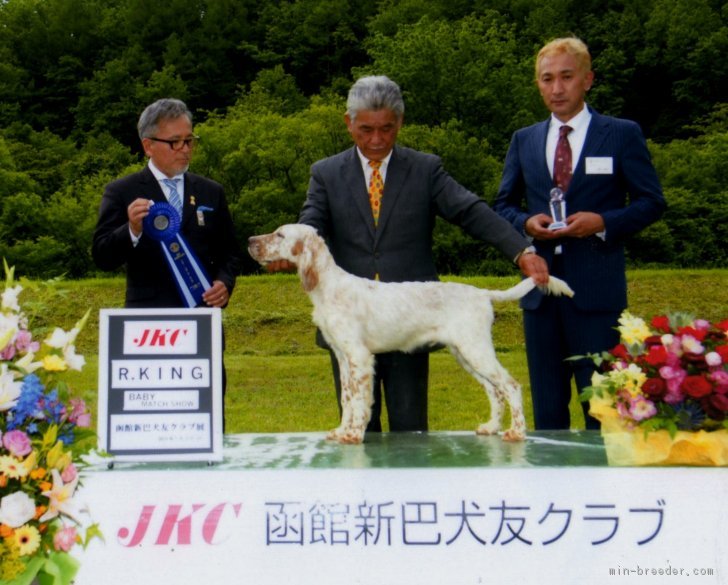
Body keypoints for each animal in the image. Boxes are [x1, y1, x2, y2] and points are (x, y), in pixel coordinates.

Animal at [250, 224, 576, 442]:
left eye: (280, 235)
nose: (250, 240)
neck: (328, 287)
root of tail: (482, 293)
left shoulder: (358, 357)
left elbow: (359, 400)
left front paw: (353, 433)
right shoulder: (342, 357)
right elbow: (346, 397)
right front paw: (341, 430)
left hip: (476, 350)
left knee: (510, 385)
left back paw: (516, 431)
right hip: (465, 353)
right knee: (495, 390)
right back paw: (490, 427)